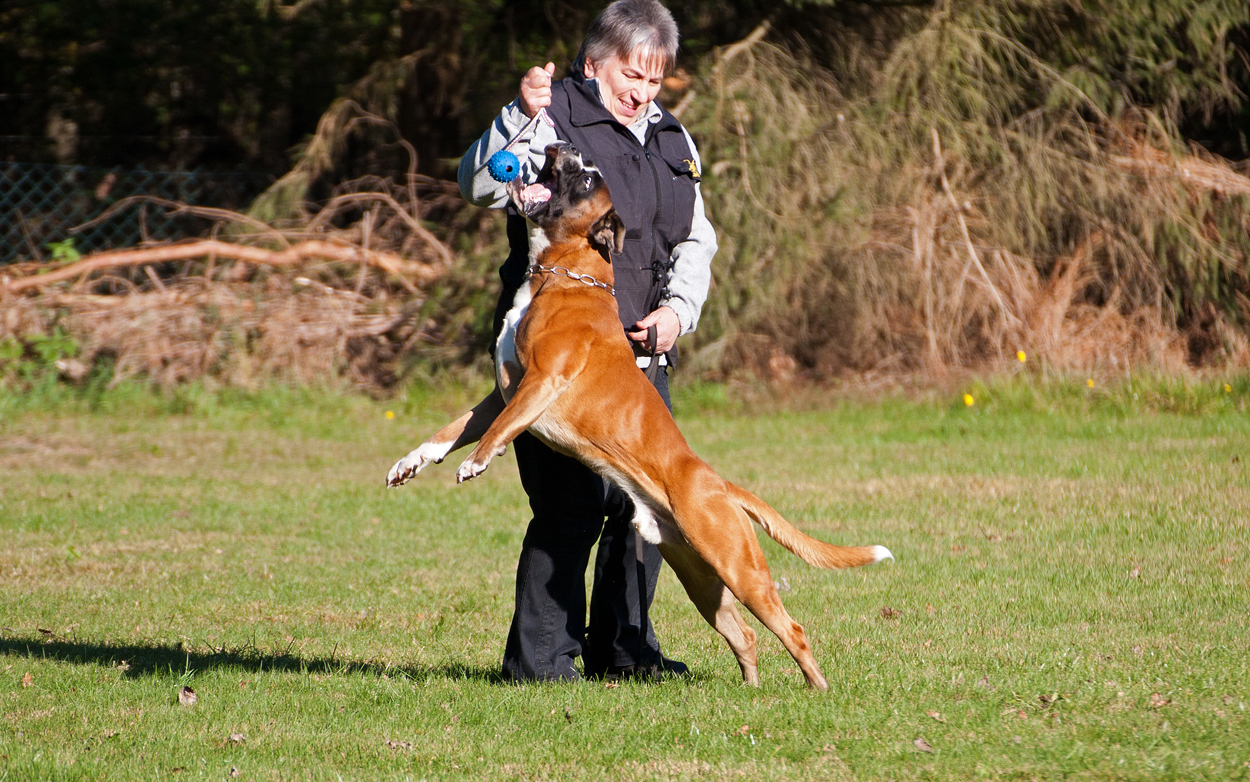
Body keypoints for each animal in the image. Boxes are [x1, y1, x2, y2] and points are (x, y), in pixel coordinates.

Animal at [390, 141, 890, 689]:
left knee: (792, 630)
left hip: (739, 569)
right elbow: (453, 428)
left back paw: (817, 690)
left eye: (588, 179)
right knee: (744, 634)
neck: (566, 274)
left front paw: (476, 461)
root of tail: (717, 484)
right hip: (701, 579)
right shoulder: (502, 392)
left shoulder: (540, 381)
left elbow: (497, 430)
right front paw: (413, 461)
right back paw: (751, 691)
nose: (562, 145)